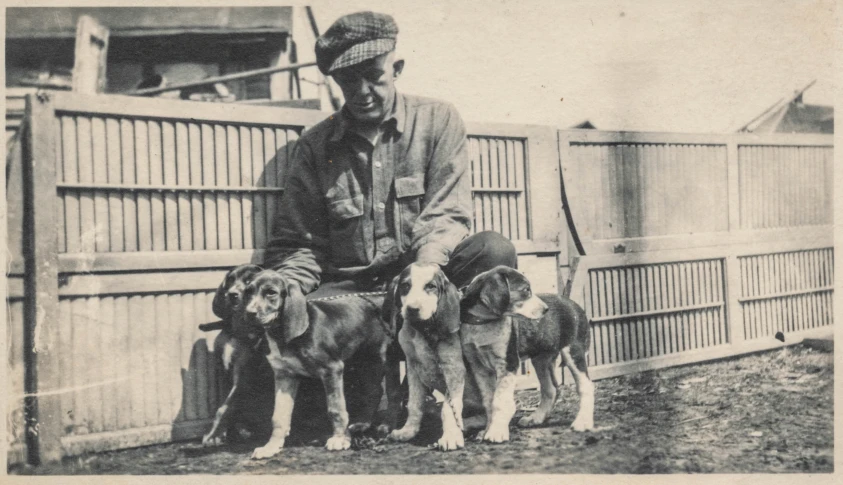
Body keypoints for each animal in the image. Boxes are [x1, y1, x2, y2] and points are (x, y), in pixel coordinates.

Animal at [200, 264, 274, 446]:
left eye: (248, 281)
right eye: (230, 279)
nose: (231, 295)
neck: (236, 330)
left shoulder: (243, 377)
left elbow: (224, 408)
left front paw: (212, 434)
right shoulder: (223, 373)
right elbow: (225, 405)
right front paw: (225, 434)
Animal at [241, 270, 392, 460]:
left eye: (271, 293)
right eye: (248, 292)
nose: (249, 313)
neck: (281, 334)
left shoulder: (332, 370)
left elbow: (336, 409)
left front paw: (340, 439)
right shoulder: (285, 376)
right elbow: (279, 416)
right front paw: (271, 446)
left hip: (378, 359)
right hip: (363, 361)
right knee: (374, 392)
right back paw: (361, 424)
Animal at [384, 264, 468, 450]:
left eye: (431, 286)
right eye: (405, 286)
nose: (412, 309)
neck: (423, 329)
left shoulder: (454, 371)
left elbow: (448, 409)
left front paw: (450, 436)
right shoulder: (413, 368)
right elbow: (414, 404)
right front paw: (409, 431)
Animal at [462, 266, 592, 440]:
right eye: (526, 290)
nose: (546, 309)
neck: (483, 323)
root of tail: (573, 304)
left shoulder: (508, 364)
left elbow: (500, 401)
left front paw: (496, 432)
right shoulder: (479, 367)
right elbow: (489, 401)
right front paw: (488, 429)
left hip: (573, 351)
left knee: (586, 386)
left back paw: (583, 422)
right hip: (541, 359)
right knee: (550, 389)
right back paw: (535, 418)